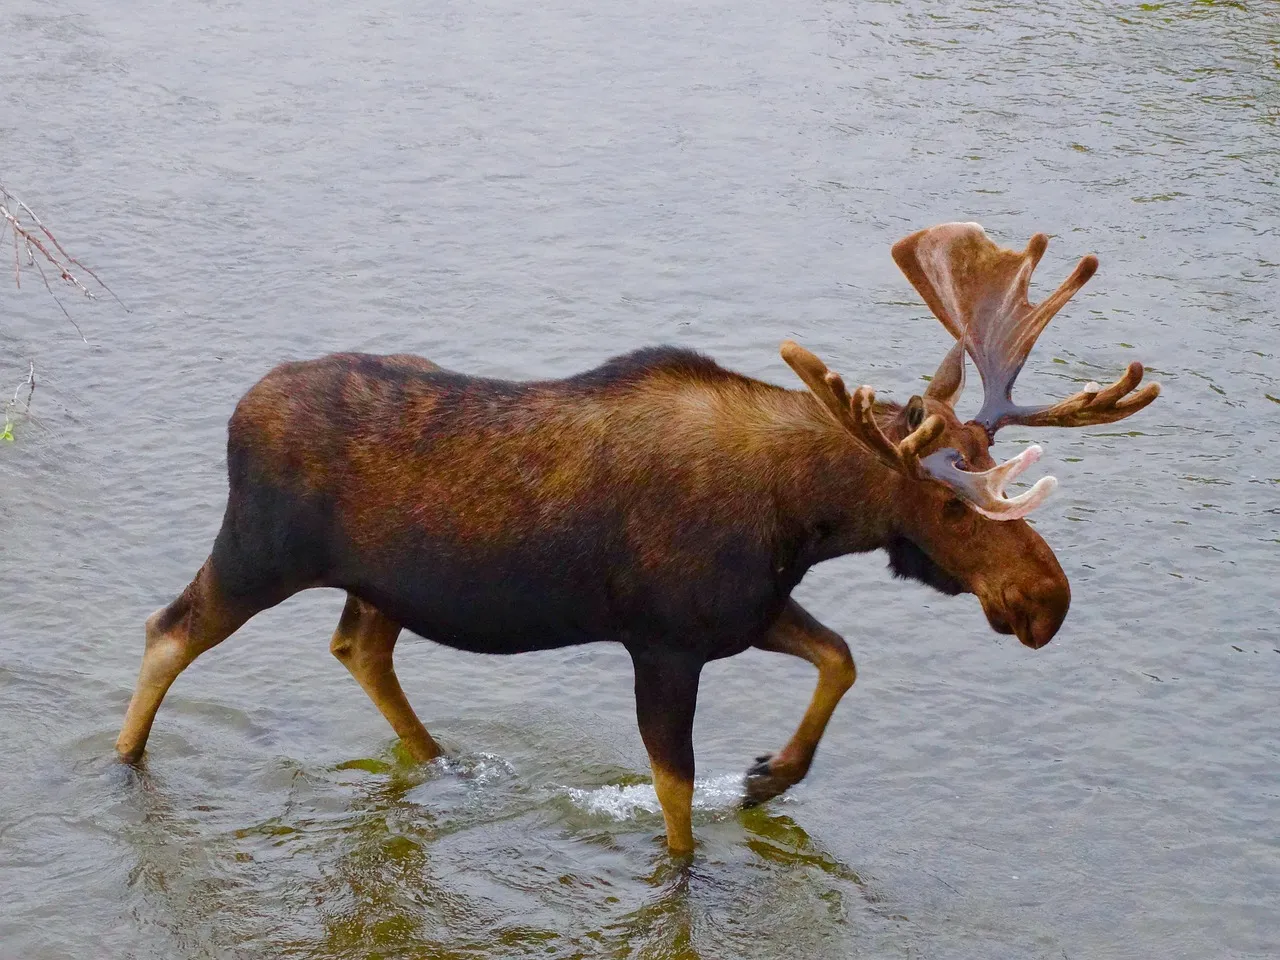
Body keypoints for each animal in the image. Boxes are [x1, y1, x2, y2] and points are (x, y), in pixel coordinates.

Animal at [115, 222, 1160, 855]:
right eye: (949, 504)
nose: (1048, 600)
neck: (805, 517)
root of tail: (238, 412)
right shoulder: (662, 643)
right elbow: (676, 804)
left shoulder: (745, 613)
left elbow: (841, 657)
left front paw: (771, 776)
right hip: (259, 551)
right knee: (168, 630)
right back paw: (125, 762)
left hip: (377, 584)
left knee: (358, 647)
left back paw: (442, 760)